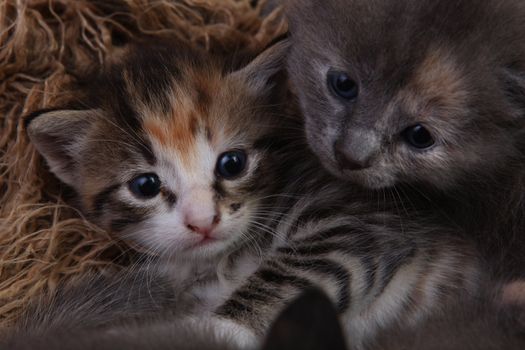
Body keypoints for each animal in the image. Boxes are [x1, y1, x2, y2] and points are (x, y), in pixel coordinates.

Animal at [26, 39, 482, 348]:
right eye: (145, 186)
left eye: (232, 163)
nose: (203, 221)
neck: (224, 261)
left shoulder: (364, 221)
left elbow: (294, 272)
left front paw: (206, 330)